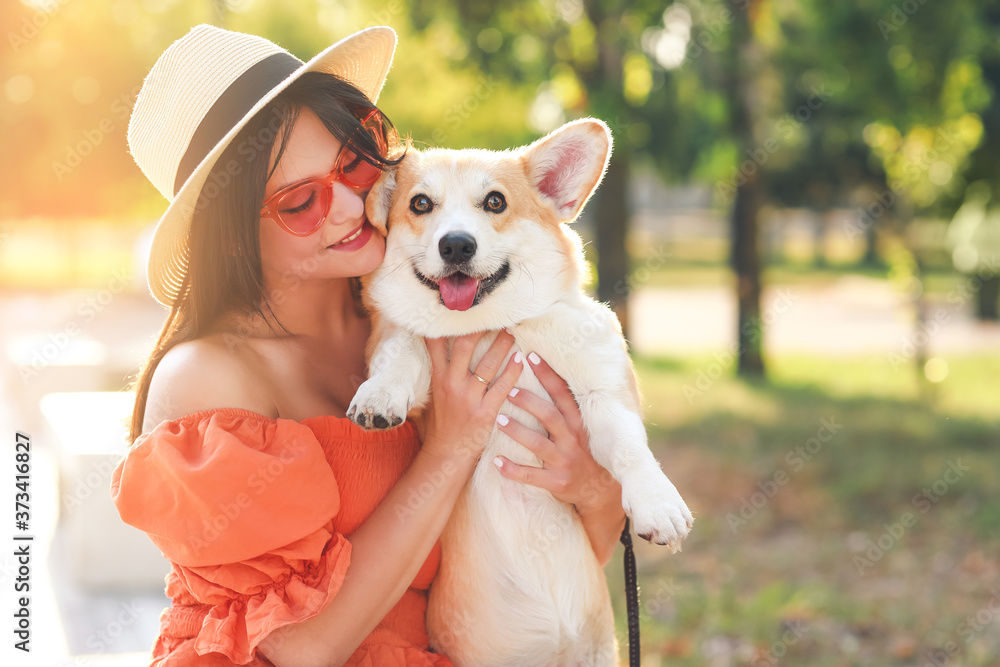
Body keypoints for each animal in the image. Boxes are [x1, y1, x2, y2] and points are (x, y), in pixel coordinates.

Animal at [348, 117, 692, 664]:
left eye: (495, 202)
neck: (493, 327)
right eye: (420, 204)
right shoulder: (402, 344)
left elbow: (630, 449)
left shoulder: (604, 387)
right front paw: (380, 396)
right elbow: (403, 349)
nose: (456, 245)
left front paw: (658, 504)